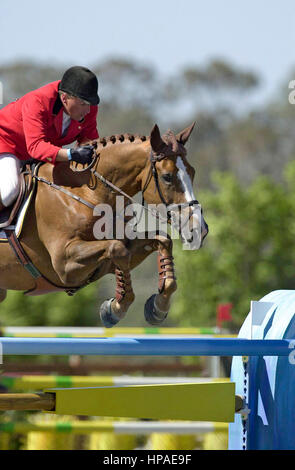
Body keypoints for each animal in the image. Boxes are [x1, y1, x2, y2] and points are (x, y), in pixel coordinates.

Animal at [0, 124, 209, 326]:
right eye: (167, 176)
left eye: (193, 172)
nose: (200, 228)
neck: (86, 191)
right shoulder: (64, 264)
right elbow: (118, 249)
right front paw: (114, 309)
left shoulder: (114, 253)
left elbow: (162, 240)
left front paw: (158, 308)